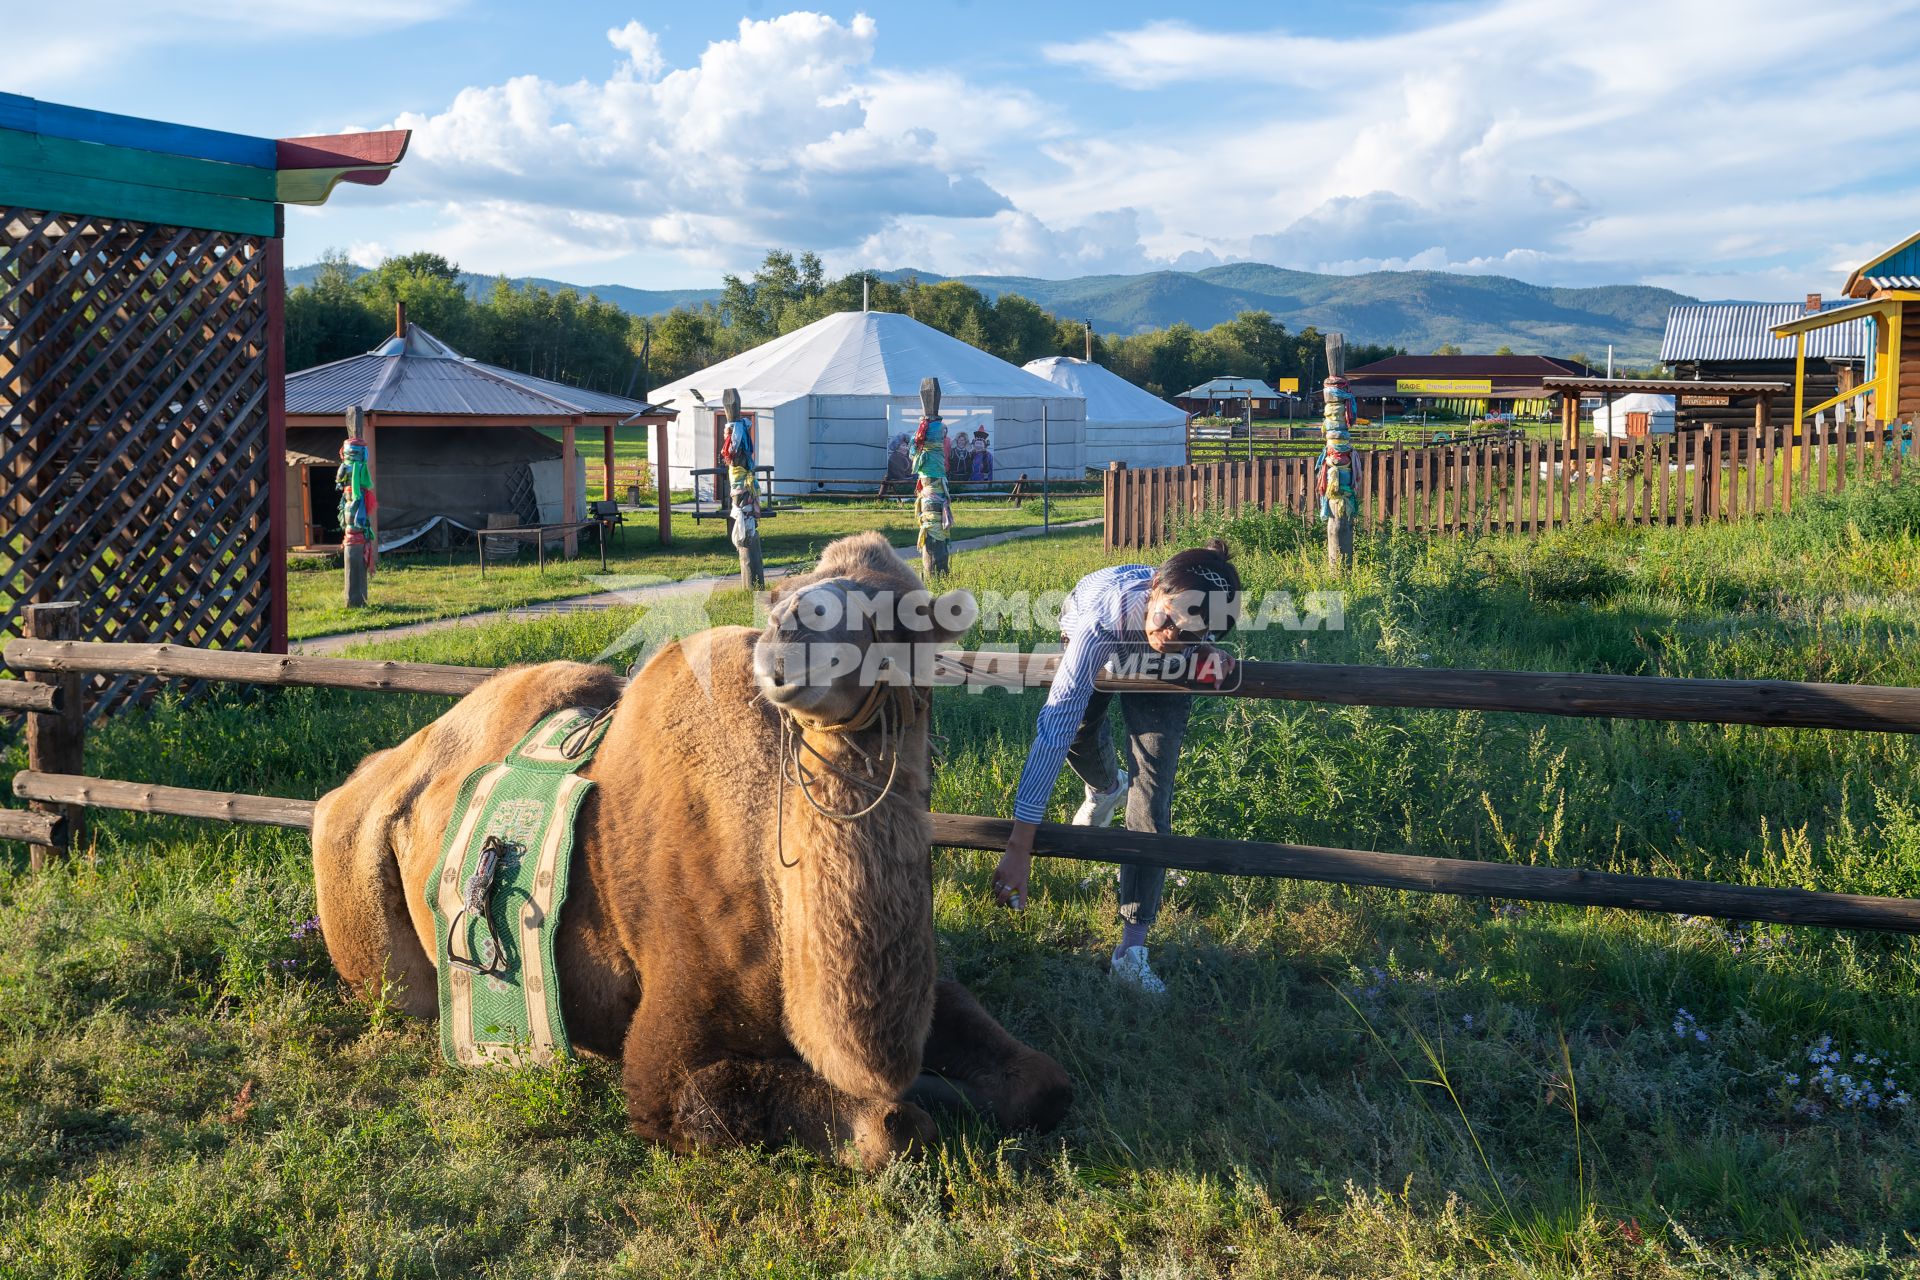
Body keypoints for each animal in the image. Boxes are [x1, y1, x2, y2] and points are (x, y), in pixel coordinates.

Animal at [307, 529, 1075, 1174]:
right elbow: (889, 1127)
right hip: (373, 938)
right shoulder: (662, 1052)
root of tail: (359, 781)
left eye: (900, 615)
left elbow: (1046, 1082)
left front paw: (950, 1087)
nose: (785, 636)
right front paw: (926, 1099)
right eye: (790, 589)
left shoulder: (932, 992)